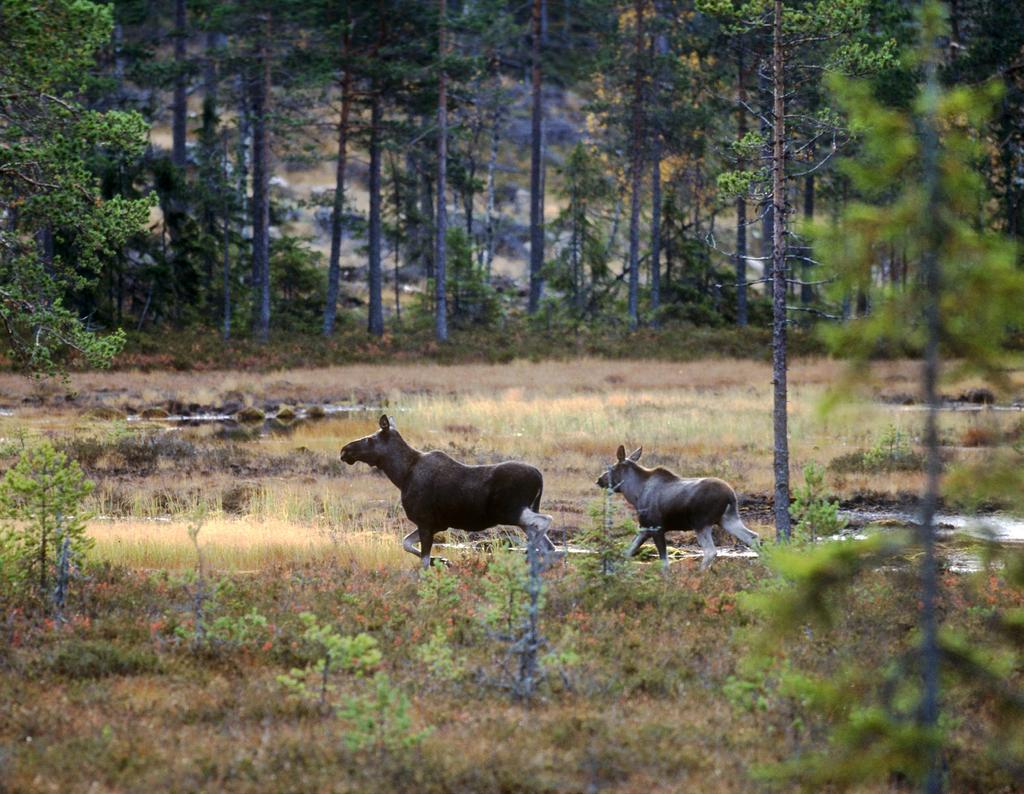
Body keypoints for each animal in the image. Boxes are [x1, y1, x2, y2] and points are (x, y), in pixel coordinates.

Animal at [342, 415, 557, 565]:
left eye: (370, 439)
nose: (344, 450)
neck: (401, 475)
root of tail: (539, 477)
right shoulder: (438, 525)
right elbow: (406, 543)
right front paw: (443, 560)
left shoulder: (425, 521)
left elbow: (422, 561)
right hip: (523, 514)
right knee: (550, 545)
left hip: (511, 512)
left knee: (546, 521)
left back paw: (529, 555)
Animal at [598, 446, 757, 569]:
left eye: (612, 468)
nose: (599, 479)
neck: (634, 494)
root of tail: (730, 495)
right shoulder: (644, 527)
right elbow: (627, 552)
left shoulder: (657, 528)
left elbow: (664, 562)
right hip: (728, 519)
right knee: (753, 537)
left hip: (701, 523)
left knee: (710, 551)